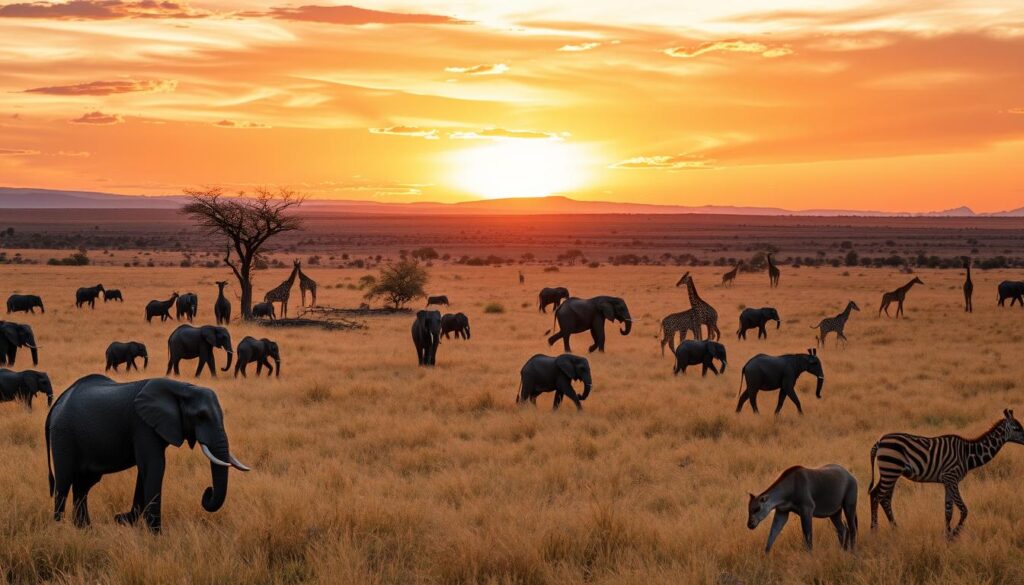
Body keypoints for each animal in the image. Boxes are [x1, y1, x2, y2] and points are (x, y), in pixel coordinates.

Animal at [46, 377, 249, 532]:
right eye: (200, 416)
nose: (208, 491)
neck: (182, 388)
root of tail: (57, 404)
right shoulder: (143, 425)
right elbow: (155, 466)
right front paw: (156, 535)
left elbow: (145, 470)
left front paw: (125, 520)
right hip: (63, 436)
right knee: (63, 483)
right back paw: (59, 528)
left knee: (84, 485)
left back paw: (84, 529)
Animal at [868, 409, 1024, 536]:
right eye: (1017, 428)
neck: (967, 454)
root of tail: (880, 441)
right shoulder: (951, 478)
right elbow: (964, 509)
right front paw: (955, 533)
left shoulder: (947, 481)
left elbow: (948, 510)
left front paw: (947, 535)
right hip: (890, 470)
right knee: (877, 497)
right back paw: (875, 530)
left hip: (890, 473)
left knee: (883, 498)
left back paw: (895, 528)